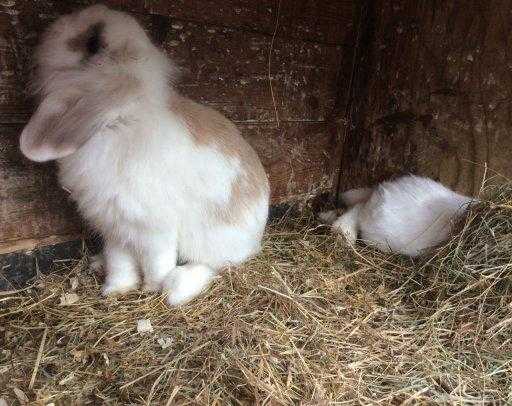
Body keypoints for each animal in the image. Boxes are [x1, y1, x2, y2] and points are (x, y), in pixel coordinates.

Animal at [19, 5, 272, 304]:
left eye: (93, 41)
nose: (55, 25)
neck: (119, 122)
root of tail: (258, 235)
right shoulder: (114, 226)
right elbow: (120, 261)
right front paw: (116, 289)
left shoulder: (156, 229)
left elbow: (156, 262)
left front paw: (151, 289)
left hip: (216, 244)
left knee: (215, 265)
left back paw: (177, 286)